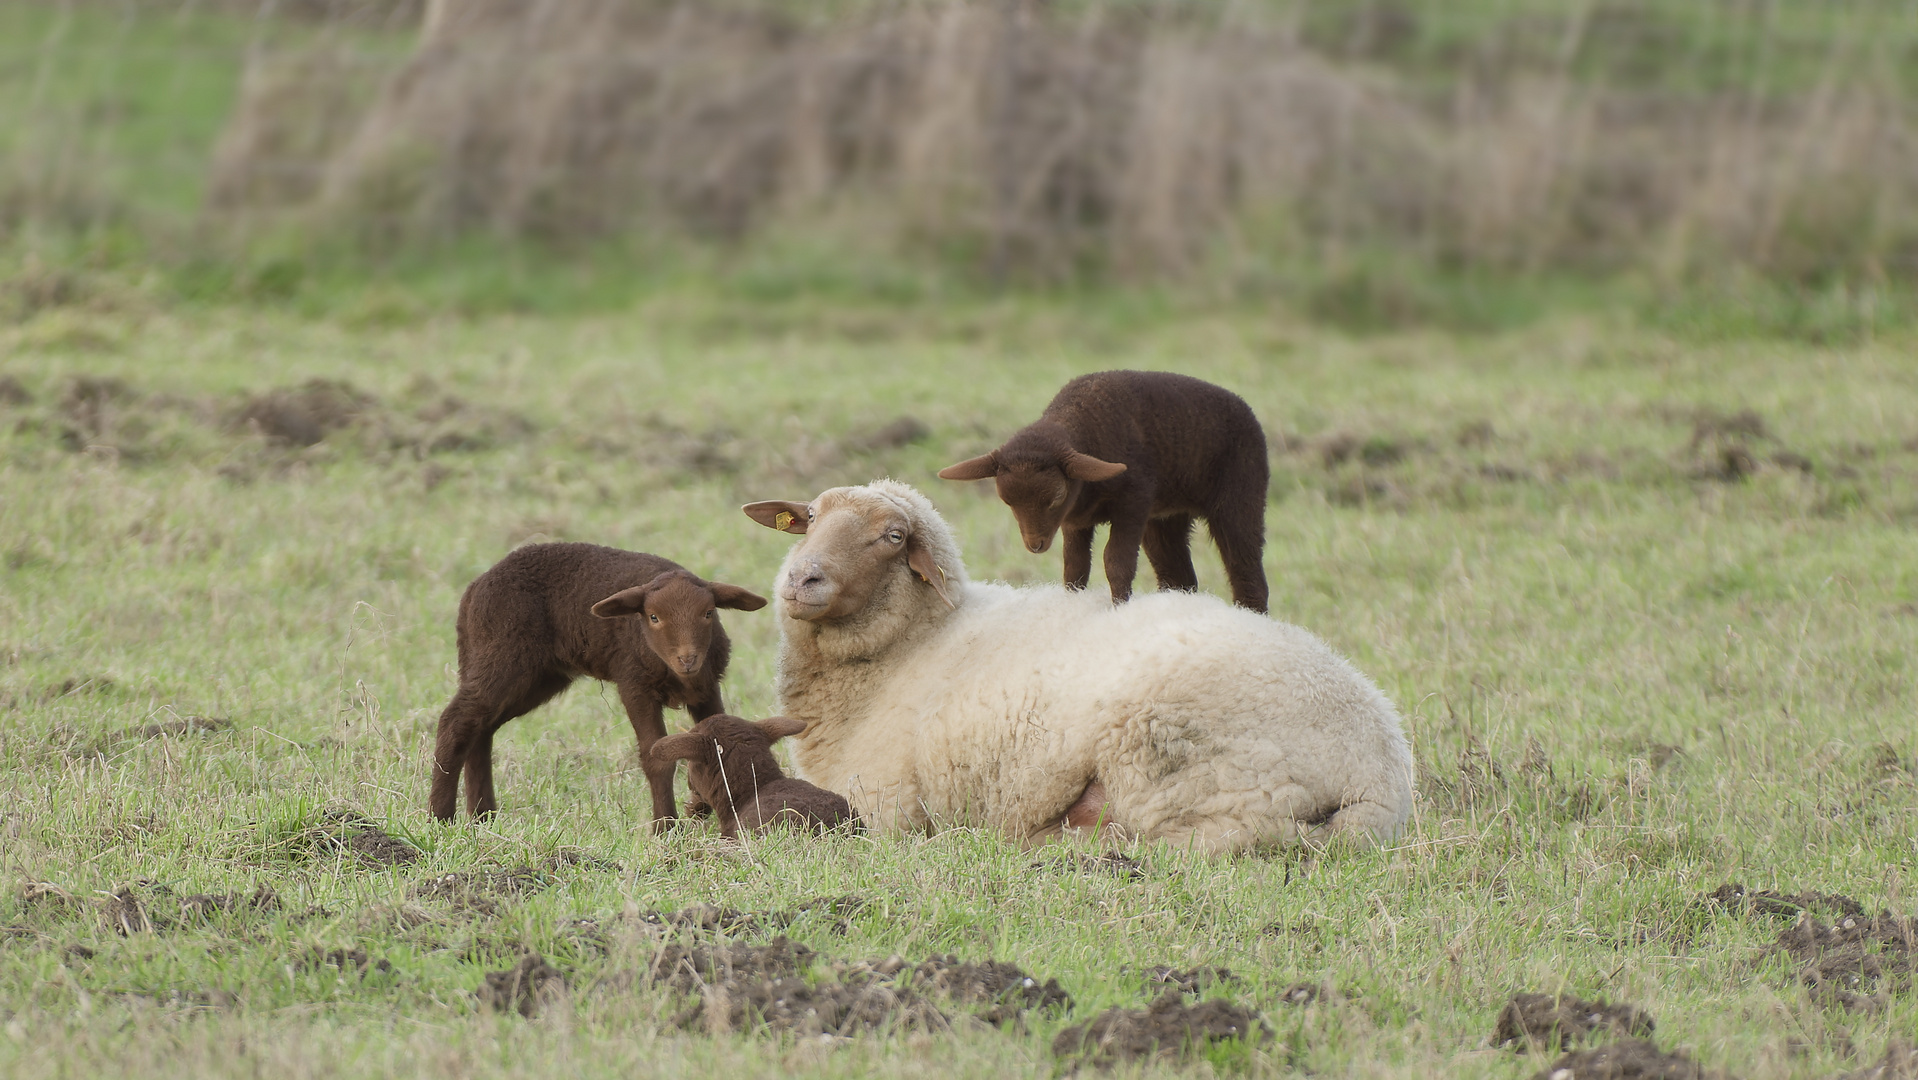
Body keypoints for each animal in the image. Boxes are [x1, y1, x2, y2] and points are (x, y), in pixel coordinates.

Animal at [431, 540, 767, 828]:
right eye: (653, 617)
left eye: (708, 613)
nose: (688, 659)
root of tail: (473, 591)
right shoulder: (635, 686)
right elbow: (655, 757)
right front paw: (664, 828)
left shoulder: (706, 688)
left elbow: (714, 745)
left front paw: (699, 807)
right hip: (502, 656)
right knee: (457, 721)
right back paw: (441, 817)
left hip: (534, 676)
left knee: (481, 727)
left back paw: (482, 816)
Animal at [740, 481, 1419, 855]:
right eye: (808, 517)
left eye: (894, 537)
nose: (802, 579)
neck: (908, 645)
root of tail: (1380, 770)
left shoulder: (884, 807)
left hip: (1178, 767)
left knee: (1188, 842)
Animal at [939, 370, 1273, 610]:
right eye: (1007, 502)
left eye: (1055, 498)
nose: (1035, 545)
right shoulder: (1075, 520)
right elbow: (1074, 567)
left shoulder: (1133, 502)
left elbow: (1116, 562)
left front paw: (1118, 608)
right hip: (1165, 518)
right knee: (1178, 575)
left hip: (1241, 494)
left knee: (1247, 571)